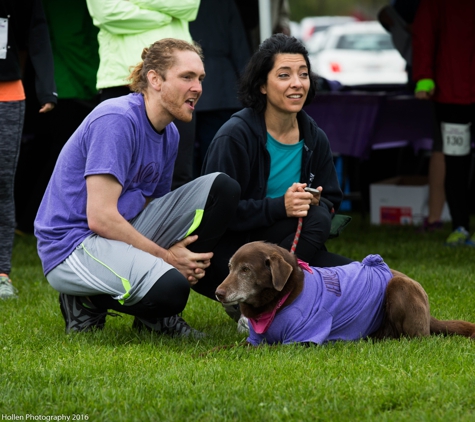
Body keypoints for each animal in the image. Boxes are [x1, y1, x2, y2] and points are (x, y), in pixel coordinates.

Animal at [215, 242, 475, 344]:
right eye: (229, 267)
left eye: (246, 270)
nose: (218, 292)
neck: (282, 299)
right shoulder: (255, 339)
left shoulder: (299, 342)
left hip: (399, 288)